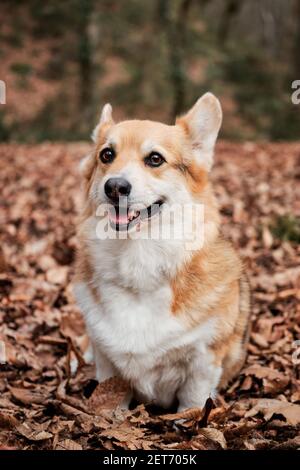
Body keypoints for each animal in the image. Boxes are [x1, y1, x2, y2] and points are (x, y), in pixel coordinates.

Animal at [73, 93, 251, 410]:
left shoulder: (202, 364)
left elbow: (192, 405)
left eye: (155, 159)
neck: (138, 258)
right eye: (107, 155)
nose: (114, 186)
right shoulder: (107, 364)